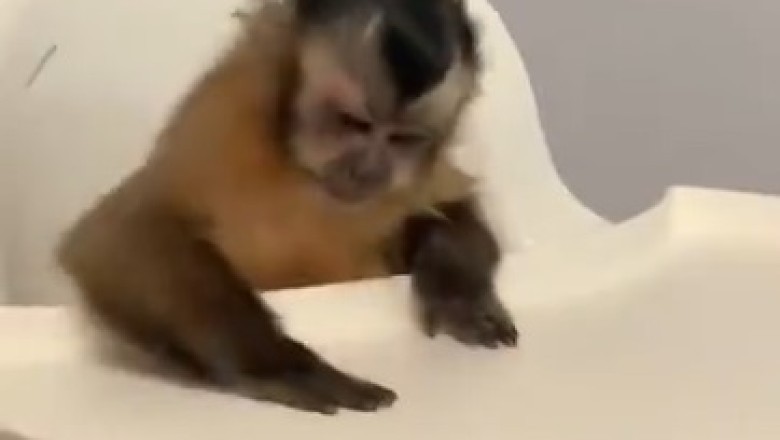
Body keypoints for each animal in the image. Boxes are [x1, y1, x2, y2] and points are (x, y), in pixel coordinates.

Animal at [57, 0, 517, 414]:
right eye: (351, 123)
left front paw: (457, 286)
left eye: (403, 138)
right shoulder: (220, 120)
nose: (368, 171)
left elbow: (445, 206)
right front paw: (277, 366)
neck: (301, 175)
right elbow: (118, 236)